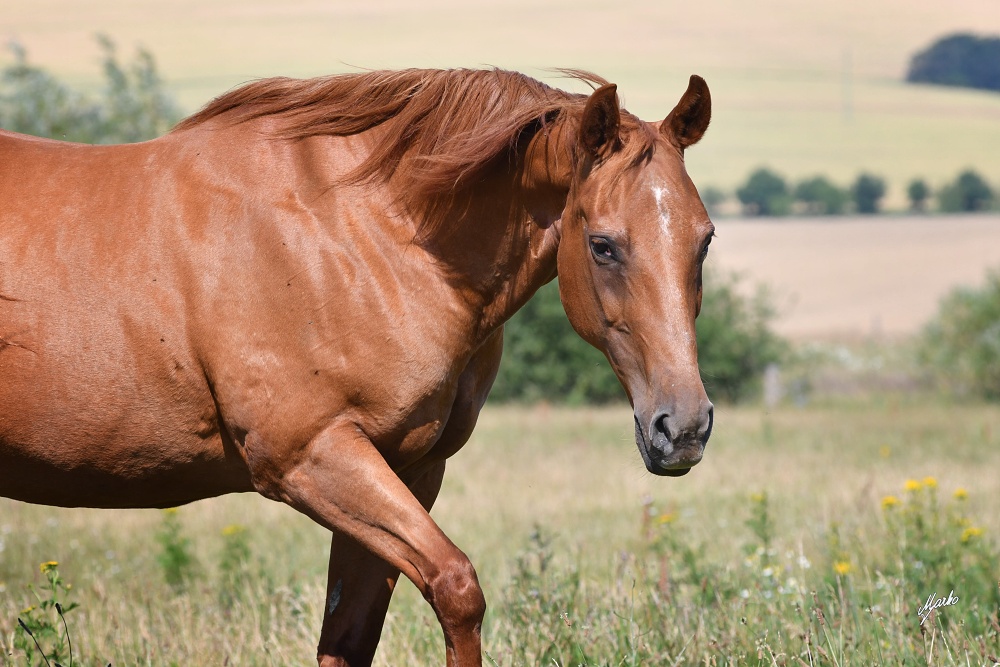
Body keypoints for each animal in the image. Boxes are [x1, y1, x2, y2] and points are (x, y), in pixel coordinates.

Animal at [1, 70, 720, 664]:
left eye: (705, 238)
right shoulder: (313, 458)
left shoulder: (405, 469)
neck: (357, 238)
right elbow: (457, 588)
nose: (682, 427)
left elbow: (350, 635)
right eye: (603, 245)